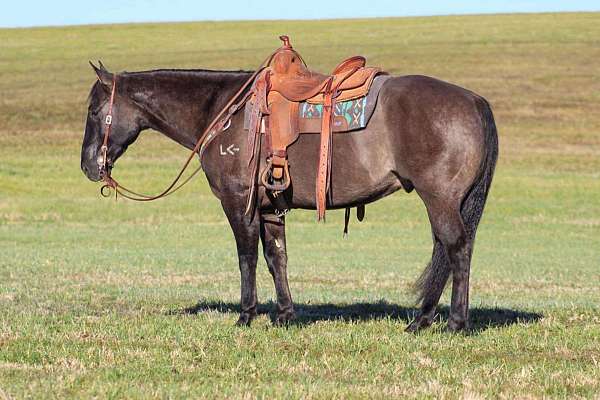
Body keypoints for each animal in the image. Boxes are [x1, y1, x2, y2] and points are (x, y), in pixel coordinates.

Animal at [82, 61, 500, 332]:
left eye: (94, 110)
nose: (88, 165)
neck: (224, 112)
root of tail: (475, 101)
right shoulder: (271, 208)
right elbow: (275, 257)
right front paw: (285, 315)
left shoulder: (238, 202)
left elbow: (247, 258)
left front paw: (246, 315)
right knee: (445, 251)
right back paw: (421, 320)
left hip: (440, 199)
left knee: (457, 248)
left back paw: (454, 323)